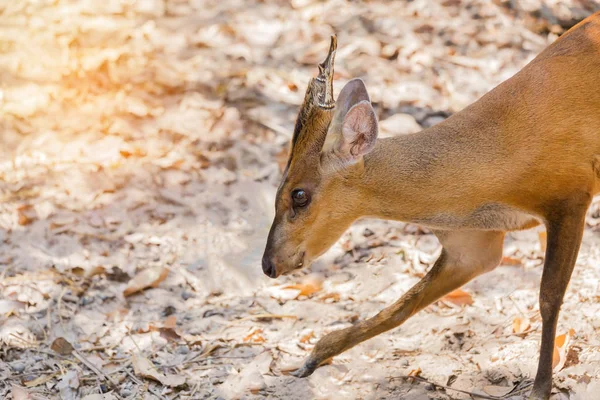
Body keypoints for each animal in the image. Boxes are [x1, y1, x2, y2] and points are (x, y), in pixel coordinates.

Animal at [262, 13, 600, 400]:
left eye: (299, 195)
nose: (268, 265)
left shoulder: (570, 194)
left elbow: (549, 297)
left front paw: (541, 388)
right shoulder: (473, 245)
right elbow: (404, 306)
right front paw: (313, 357)